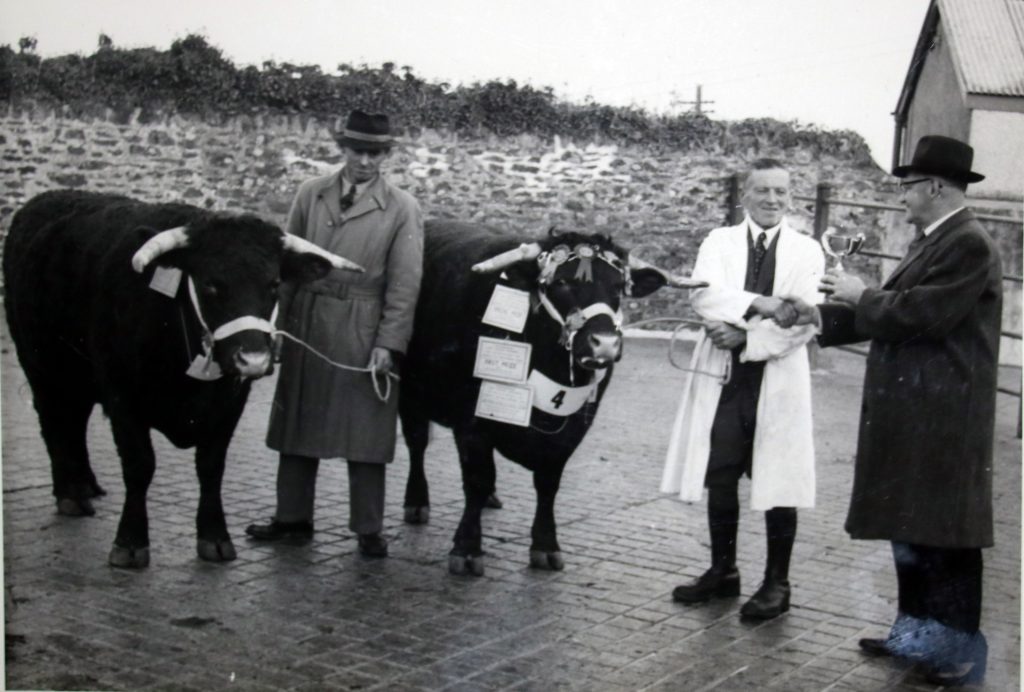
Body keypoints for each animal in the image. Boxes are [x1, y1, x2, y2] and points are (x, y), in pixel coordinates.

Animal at [2, 189, 362, 569]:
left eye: (274, 284)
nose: (253, 360)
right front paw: (130, 542)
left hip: (78, 377)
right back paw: (69, 494)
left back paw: (86, 485)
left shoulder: (231, 402)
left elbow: (211, 466)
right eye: (210, 285)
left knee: (75, 422)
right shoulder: (121, 396)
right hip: (40, 367)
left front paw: (215, 537)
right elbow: (140, 465)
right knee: (55, 424)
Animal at [399, 222, 704, 573]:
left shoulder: (571, 430)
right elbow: (476, 479)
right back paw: (416, 503)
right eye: (561, 282)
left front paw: (546, 545)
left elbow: (548, 483)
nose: (604, 343)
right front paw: (467, 548)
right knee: (417, 443)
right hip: (407, 393)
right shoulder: (472, 422)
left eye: (618, 287)